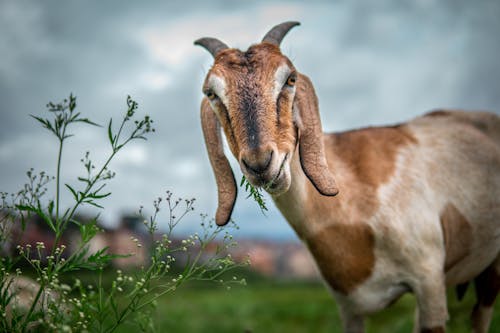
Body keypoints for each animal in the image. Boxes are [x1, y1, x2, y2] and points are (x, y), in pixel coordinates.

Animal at [193, 21, 498, 332]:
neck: (357, 199)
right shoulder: (349, 307)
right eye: (211, 93)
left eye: (290, 79)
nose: (260, 163)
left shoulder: (429, 284)